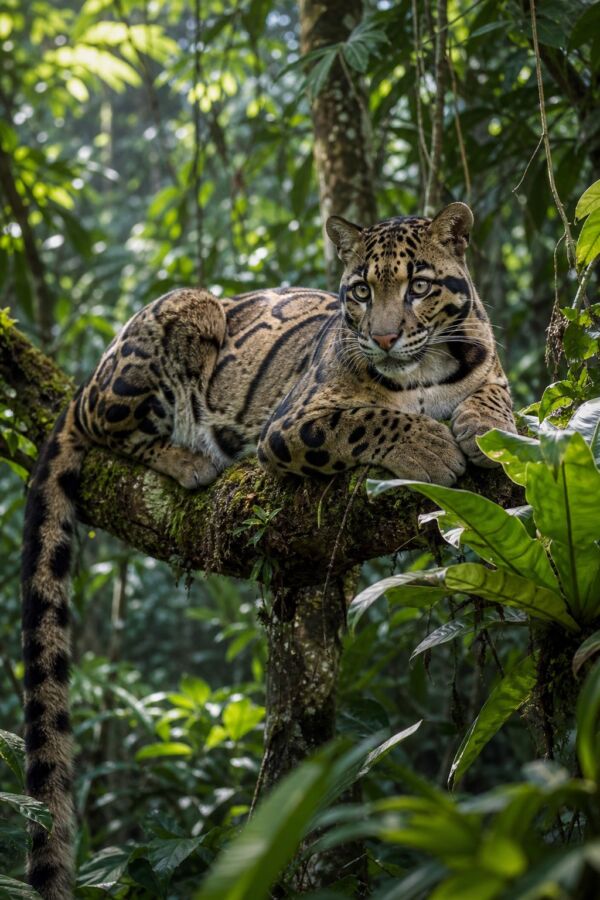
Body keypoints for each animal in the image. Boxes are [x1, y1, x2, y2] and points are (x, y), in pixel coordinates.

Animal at [21, 202, 515, 898]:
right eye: (360, 292)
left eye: (418, 286)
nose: (385, 338)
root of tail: (85, 376)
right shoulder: (293, 423)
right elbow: (367, 419)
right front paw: (428, 445)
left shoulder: (487, 365)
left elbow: (494, 394)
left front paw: (487, 423)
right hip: (181, 316)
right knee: (101, 424)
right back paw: (190, 457)